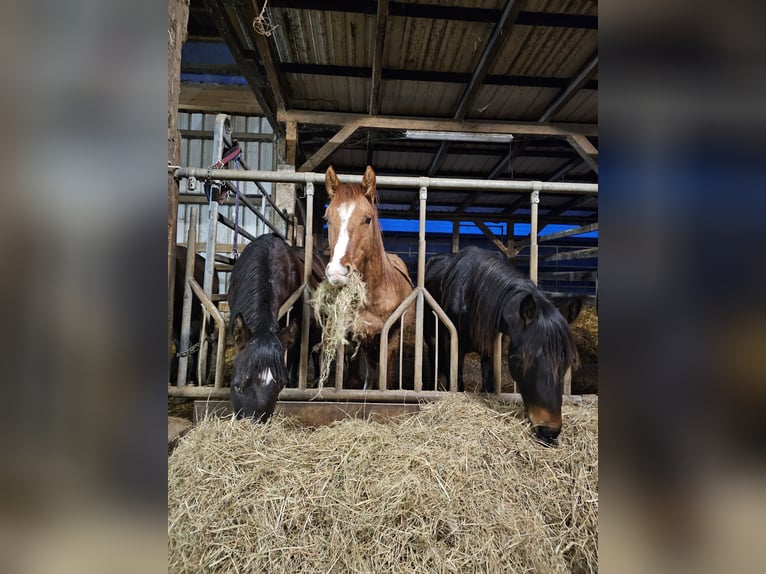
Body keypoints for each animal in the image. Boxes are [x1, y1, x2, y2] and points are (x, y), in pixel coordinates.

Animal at [324, 166, 414, 392]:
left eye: (367, 219)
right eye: (327, 218)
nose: (337, 271)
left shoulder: (390, 336)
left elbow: (386, 373)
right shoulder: (355, 333)